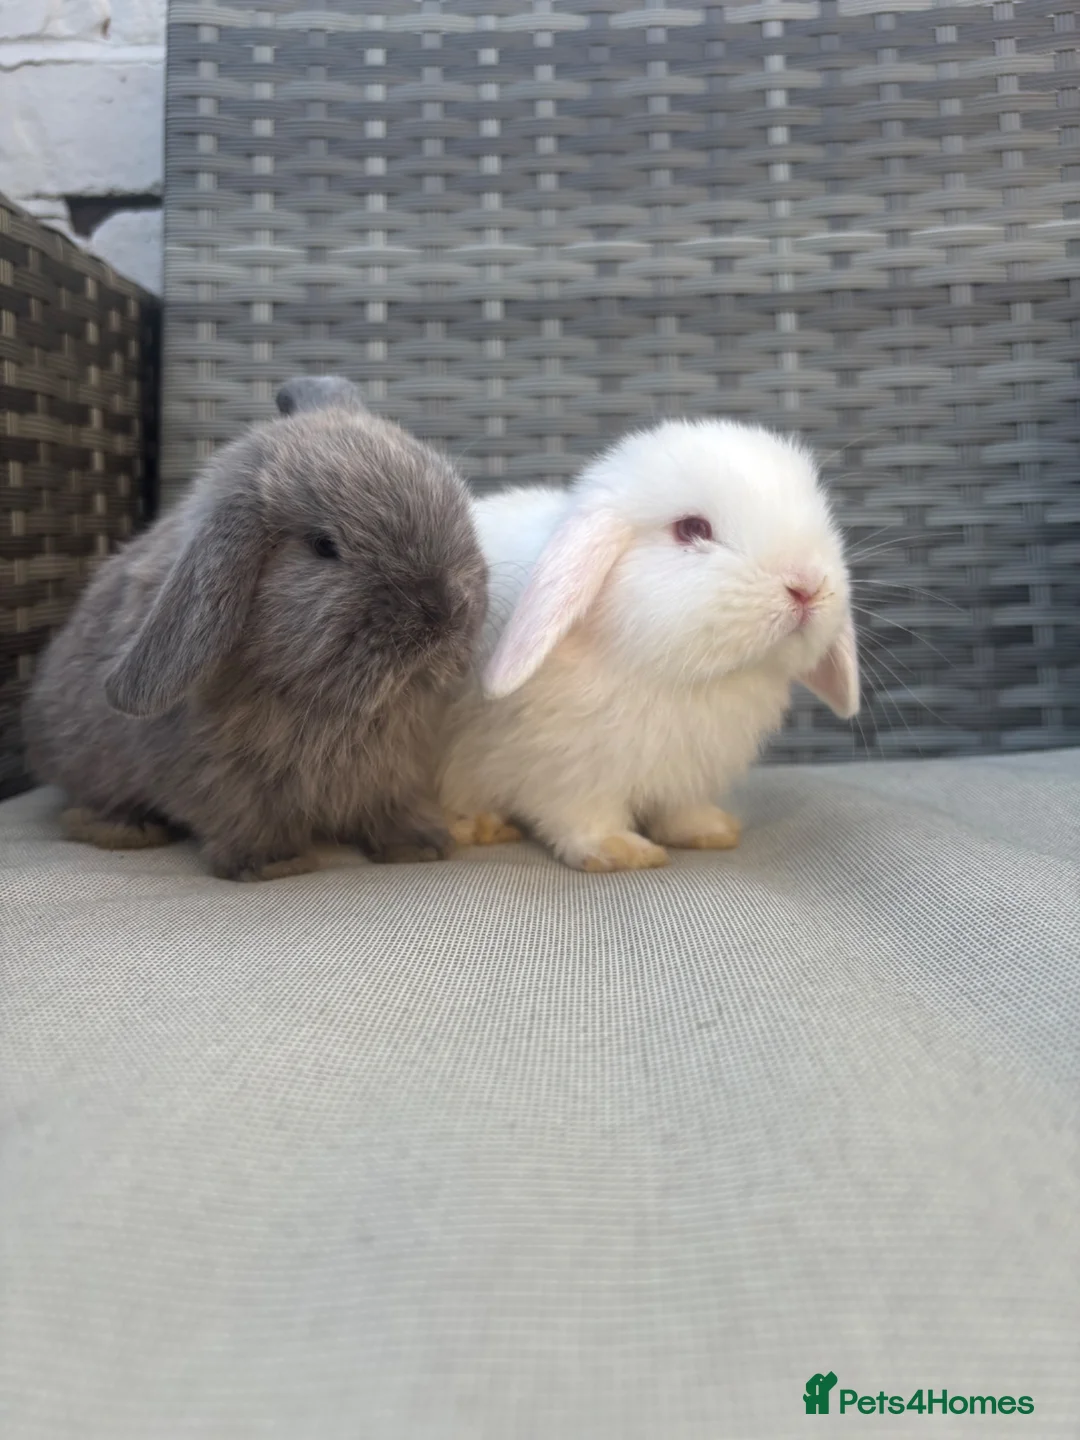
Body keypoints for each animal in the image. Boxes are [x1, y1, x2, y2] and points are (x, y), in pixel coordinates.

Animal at [23, 376, 487, 880]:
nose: (445, 611)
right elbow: (247, 818)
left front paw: (420, 847)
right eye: (323, 546)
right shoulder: (220, 779)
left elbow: (392, 808)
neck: (331, 705)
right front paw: (273, 864)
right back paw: (126, 830)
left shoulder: (396, 775)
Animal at [438, 418, 859, 872]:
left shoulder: (685, 776)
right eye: (692, 529)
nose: (807, 586)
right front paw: (619, 852)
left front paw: (711, 831)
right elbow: (580, 816)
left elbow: (681, 811)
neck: (682, 678)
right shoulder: (570, 771)